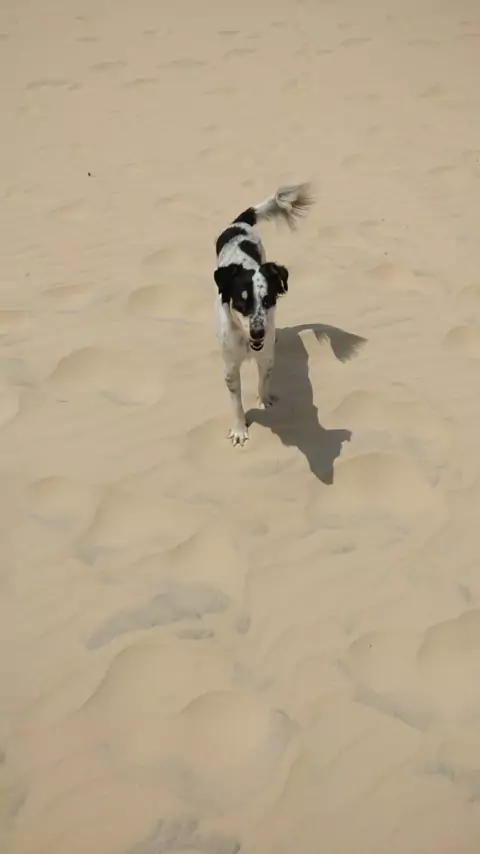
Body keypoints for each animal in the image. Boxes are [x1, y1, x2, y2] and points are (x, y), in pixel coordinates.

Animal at [214, 182, 315, 446]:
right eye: (241, 303)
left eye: (268, 300)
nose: (259, 333)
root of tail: (240, 224)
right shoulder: (230, 368)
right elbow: (236, 403)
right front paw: (239, 430)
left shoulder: (266, 356)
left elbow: (263, 381)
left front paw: (264, 401)